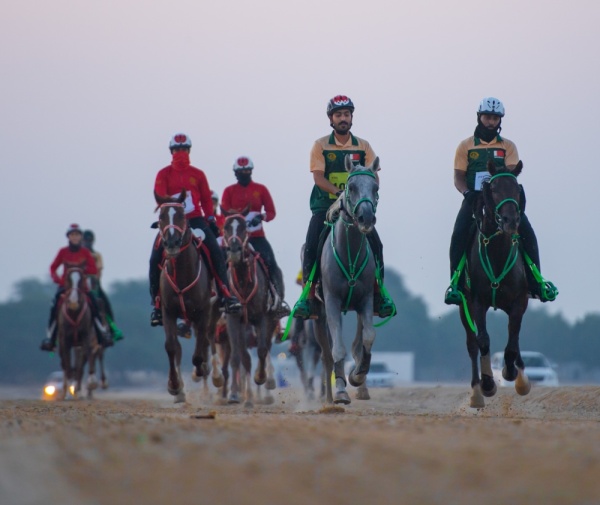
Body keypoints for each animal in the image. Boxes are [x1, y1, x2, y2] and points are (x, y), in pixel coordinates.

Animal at [56, 266, 97, 400]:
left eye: (82, 279)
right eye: (67, 279)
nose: (73, 302)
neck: (74, 314)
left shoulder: (86, 338)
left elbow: (81, 365)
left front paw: (80, 389)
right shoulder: (65, 341)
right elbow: (68, 364)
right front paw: (70, 392)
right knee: (65, 363)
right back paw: (66, 391)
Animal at [155, 189, 225, 402]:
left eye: (181, 215)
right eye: (161, 216)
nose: (171, 243)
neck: (182, 275)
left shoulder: (203, 311)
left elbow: (199, 352)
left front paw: (202, 370)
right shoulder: (168, 311)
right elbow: (171, 347)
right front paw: (174, 386)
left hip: (213, 312)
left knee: (208, 338)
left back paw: (215, 375)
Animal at [221, 212, 278, 406]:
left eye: (245, 227)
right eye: (226, 227)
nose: (234, 250)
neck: (244, 281)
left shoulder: (262, 317)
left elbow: (262, 350)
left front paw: (260, 377)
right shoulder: (233, 319)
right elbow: (238, 357)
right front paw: (234, 394)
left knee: (266, 348)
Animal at [314, 156, 380, 404]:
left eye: (375, 188)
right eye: (350, 187)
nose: (366, 218)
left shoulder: (366, 300)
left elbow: (367, 338)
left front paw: (358, 375)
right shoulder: (332, 302)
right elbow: (338, 349)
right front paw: (342, 391)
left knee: (356, 343)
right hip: (318, 315)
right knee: (326, 354)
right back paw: (329, 397)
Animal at [460, 159, 528, 408]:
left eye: (517, 188)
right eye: (495, 189)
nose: (511, 221)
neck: (497, 253)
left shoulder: (520, 301)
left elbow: (513, 340)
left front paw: (513, 375)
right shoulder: (475, 302)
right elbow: (483, 340)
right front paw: (488, 384)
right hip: (462, 306)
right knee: (471, 344)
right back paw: (476, 393)